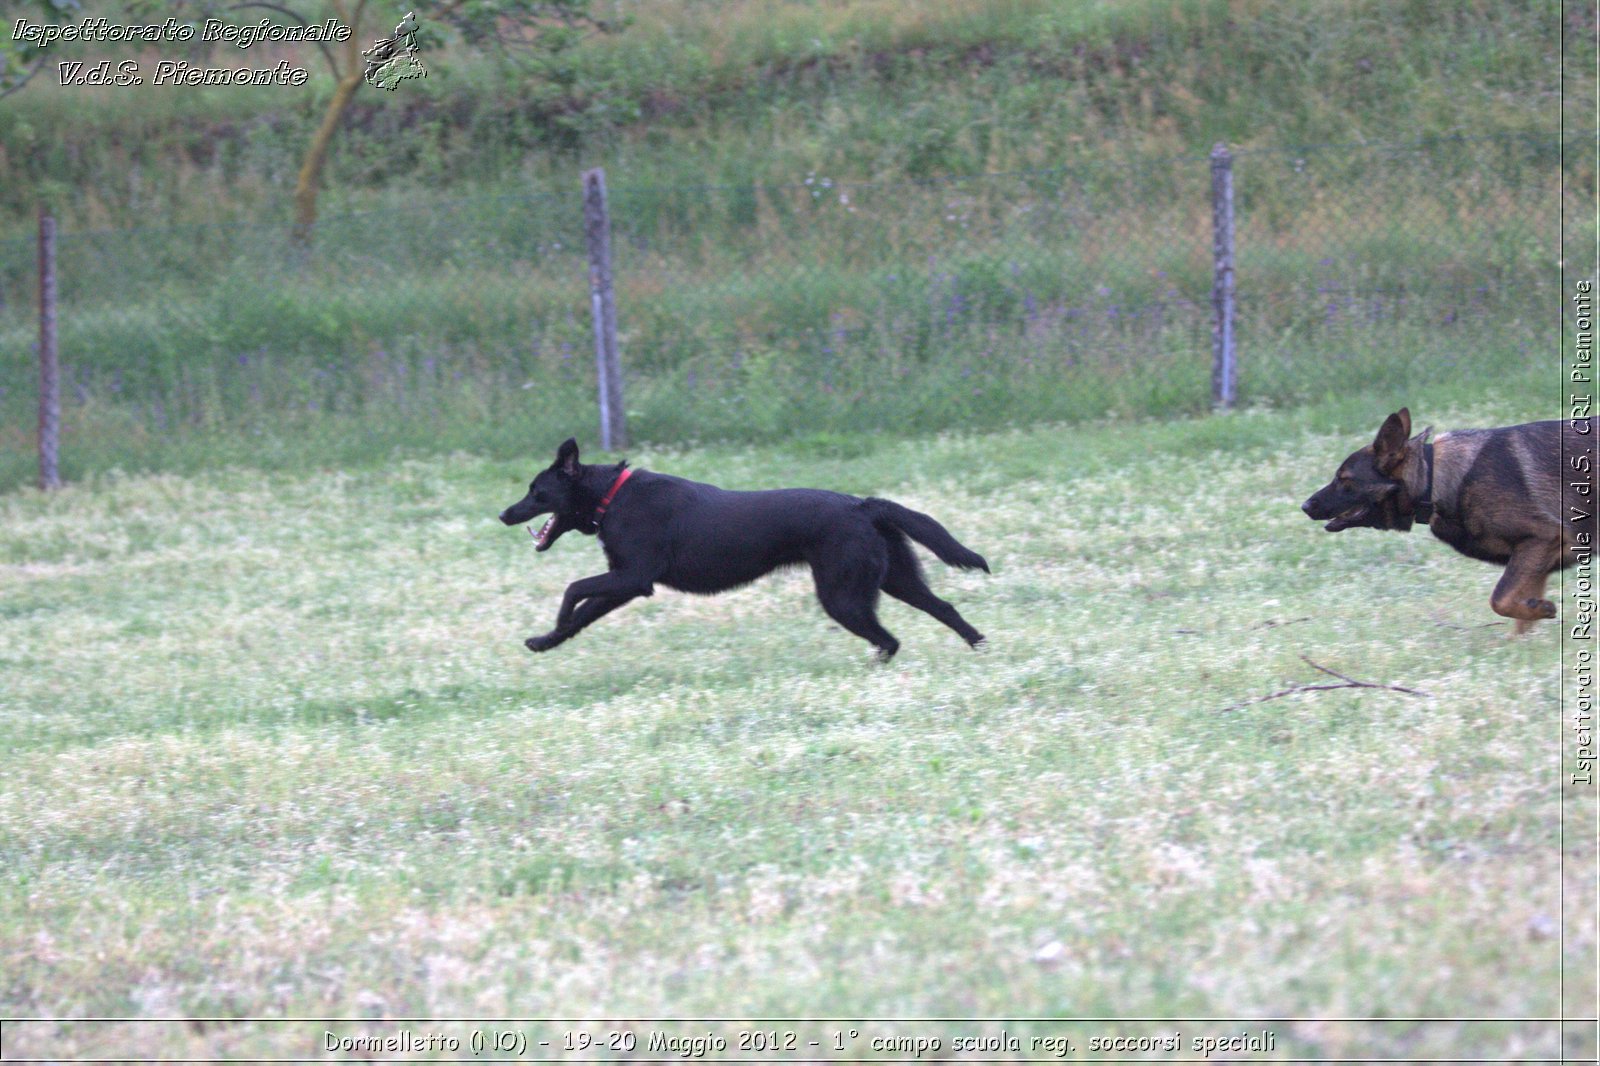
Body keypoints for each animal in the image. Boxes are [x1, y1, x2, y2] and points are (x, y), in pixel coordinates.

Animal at [499, 435, 985, 656]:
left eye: (536, 491)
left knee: (890, 640)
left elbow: (573, 590)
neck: (611, 495)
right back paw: (979, 647)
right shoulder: (626, 583)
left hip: (843, 596)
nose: (503, 514)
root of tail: (862, 505)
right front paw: (546, 640)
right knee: (944, 609)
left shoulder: (632, 576)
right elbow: (583, 614)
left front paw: (555, 622)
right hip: (896, 579)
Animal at [1305, 404, 1593, 624]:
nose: (1305, 506)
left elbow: (1499, 599)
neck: (1431, 478)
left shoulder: (1543, 537)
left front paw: (1541, 611)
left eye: (1344, 479)